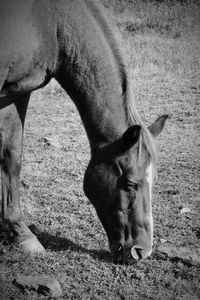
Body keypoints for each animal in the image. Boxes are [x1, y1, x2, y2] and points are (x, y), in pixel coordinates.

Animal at [0, 0, 168, 262]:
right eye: (131, 183)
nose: (142, 251)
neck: (50, 21)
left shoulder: (16, 92)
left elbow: (11, 160)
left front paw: (21, 234)